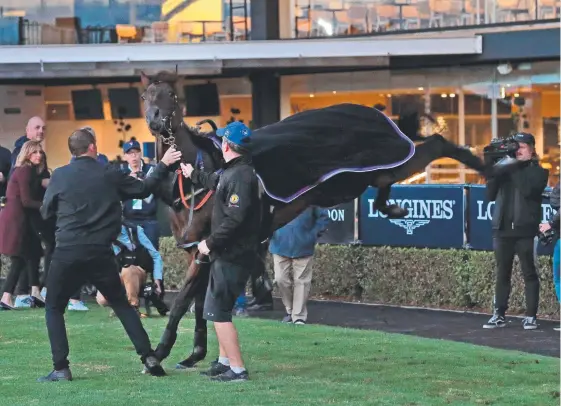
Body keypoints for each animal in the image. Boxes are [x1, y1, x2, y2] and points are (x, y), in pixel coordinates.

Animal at [140, 69, 504, 368]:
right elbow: (198, 302)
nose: (156, 122)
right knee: (390, 175)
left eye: (170, 94)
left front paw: (158, 353)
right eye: (145, 95)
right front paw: (193, 353)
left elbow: (184, 299)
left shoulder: (209, 246)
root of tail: (376, 113)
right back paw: (392, 205)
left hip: (376, 165)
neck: (202, 172)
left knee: (435, 144)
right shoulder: (195, 249)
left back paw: (489, 170)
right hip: (358, 178)